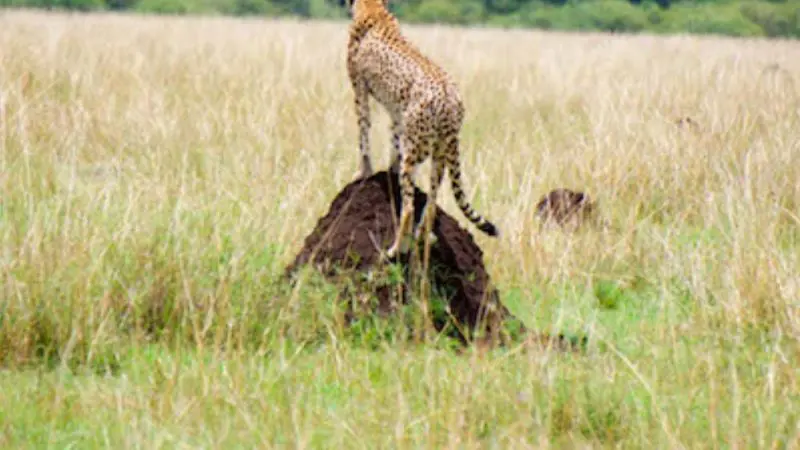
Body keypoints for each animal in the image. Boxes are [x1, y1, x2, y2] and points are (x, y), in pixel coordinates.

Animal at [341, 0, 499, 261]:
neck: (373, 8)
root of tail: (449, 98)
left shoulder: (359, 91)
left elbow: (363, 135)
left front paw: (363, 172)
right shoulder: (398, 114)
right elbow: (393, 140)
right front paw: (389, 168)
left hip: (417, 151)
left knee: (408, 207)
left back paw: (396, 249)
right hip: (439, 155)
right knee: (432, 200)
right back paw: (422, 235)